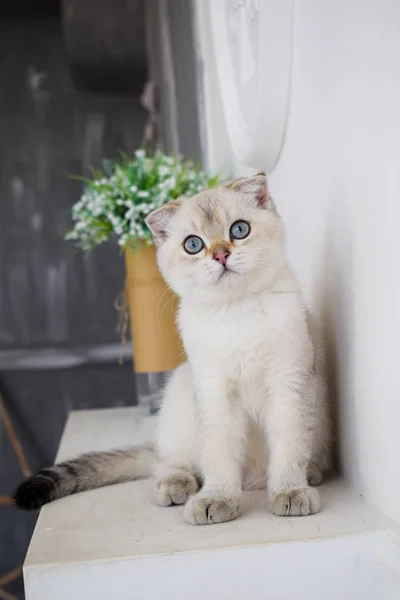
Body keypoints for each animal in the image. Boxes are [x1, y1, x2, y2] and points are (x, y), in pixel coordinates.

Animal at [14, 175, 332, 524]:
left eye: (239, 230)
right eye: (193, 245)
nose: (220, 255)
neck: (236, 311)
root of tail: (252, 480)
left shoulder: (288, 384)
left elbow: (290, 448)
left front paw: (290, 492)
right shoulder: (213, 392)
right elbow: (218, 457)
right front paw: (217, 499)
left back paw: (310, 474)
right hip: (180, 390)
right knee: (170, 463)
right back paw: (176, 488)